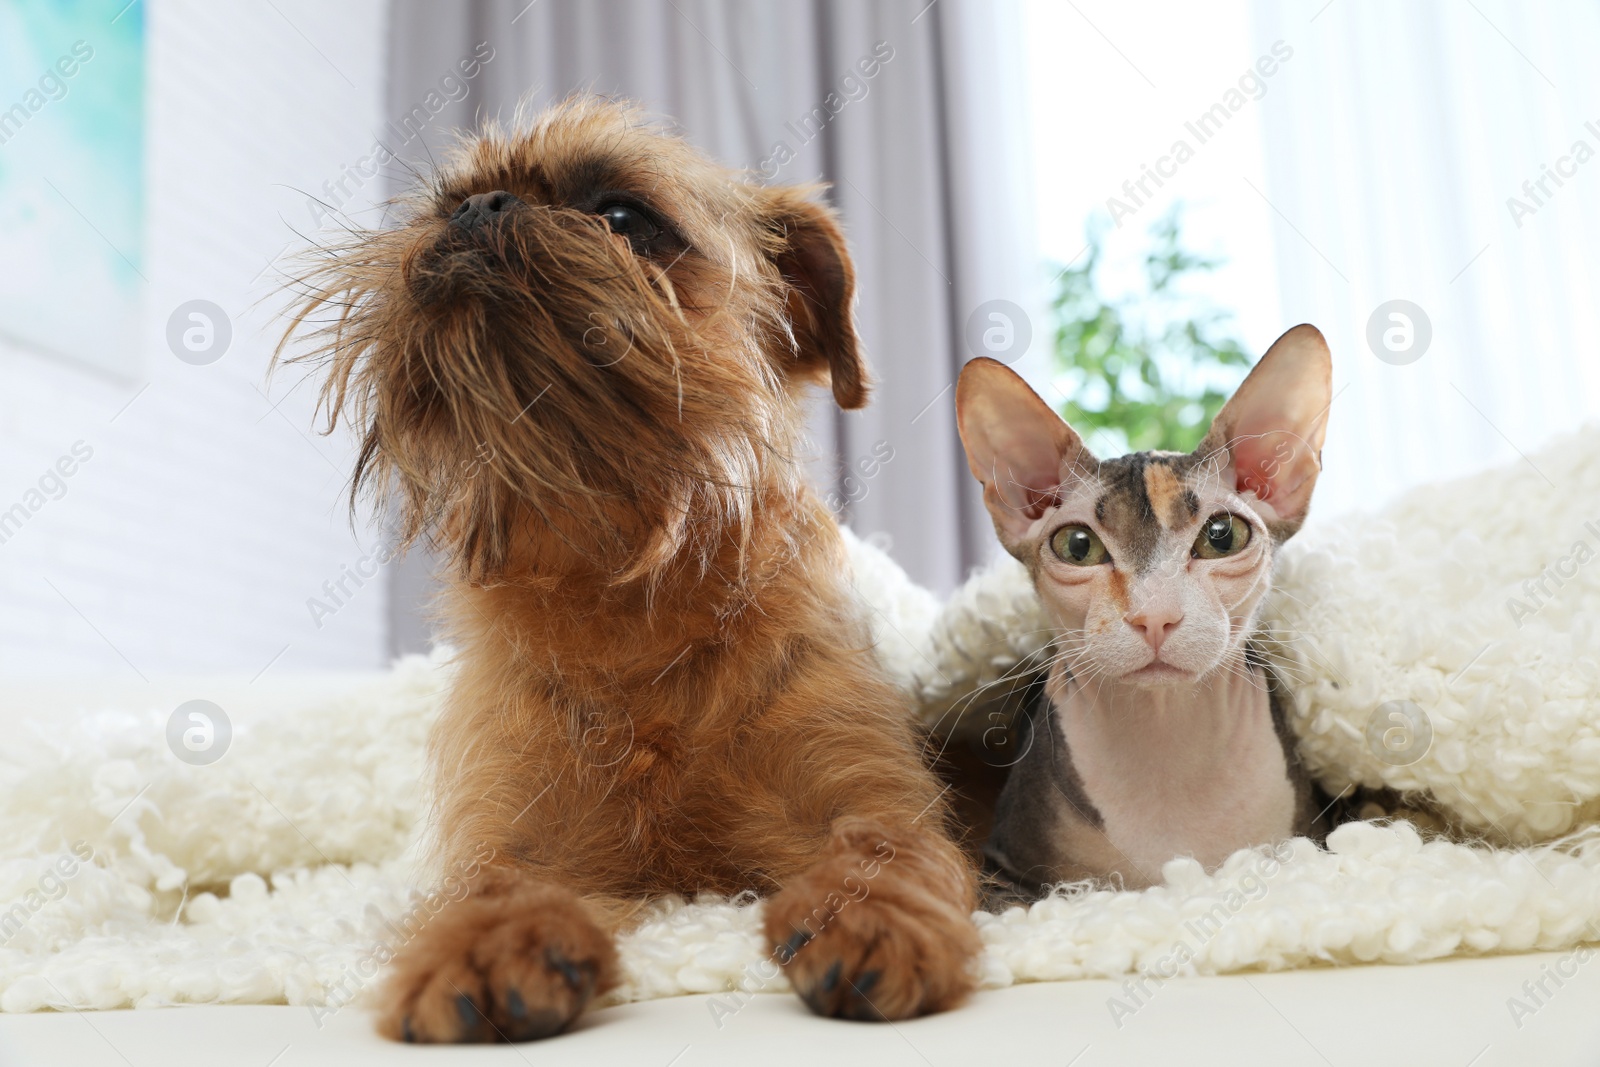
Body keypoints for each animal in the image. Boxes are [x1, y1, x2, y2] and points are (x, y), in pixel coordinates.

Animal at [281, 95, 979, 1049]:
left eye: (622, 215)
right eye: (445, 201)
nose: (480, 208)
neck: (625, 589)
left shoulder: (863, 790)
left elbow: (887, 851)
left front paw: (874, 918)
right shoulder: (520, 833)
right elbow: (491, 882)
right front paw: (490, 943)